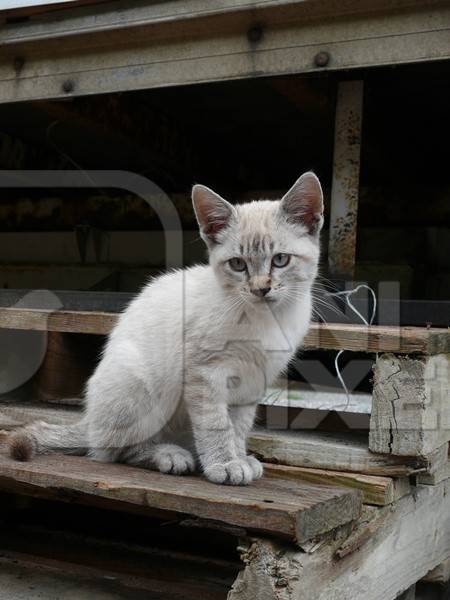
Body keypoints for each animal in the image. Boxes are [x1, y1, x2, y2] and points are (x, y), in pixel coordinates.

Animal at [7, 171, 324, 486]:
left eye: (280, 260)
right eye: (237, 264)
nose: (260, 289)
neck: (267, 320)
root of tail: (89, 421)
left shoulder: (252, 379)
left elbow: (238, 426)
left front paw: (239, 458)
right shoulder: (205, 372)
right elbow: (216, 424)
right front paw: (224, 464)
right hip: (139, 384)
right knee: (113, 449)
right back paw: (169, 455)